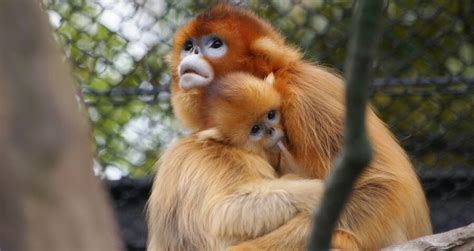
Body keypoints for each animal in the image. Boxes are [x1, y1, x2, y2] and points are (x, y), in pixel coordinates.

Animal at [148, 71, 326, 250]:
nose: (271, 131)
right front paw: (318, 191)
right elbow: (225, 212)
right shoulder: (226, 161)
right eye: (255, 129)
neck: (228, 146)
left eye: (271, 115)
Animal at [166, 3, 430, 251]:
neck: (273, 79)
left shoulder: (304, 93)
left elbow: (378, 185)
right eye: (188, 46)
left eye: (215, 44)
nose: (193, 52)